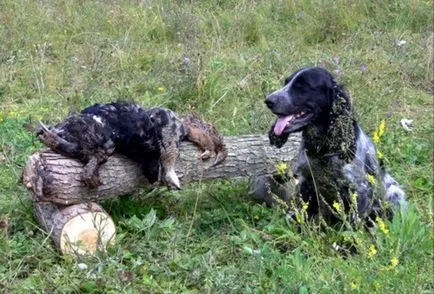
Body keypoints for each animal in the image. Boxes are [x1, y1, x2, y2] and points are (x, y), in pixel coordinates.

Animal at [260, 66, 406, 223]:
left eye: (302, 86)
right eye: (286, 82)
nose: (268, 100)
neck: (322, 148)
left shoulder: (360, 189)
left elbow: (354, 222)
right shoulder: (306, 181)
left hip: (394, 193)